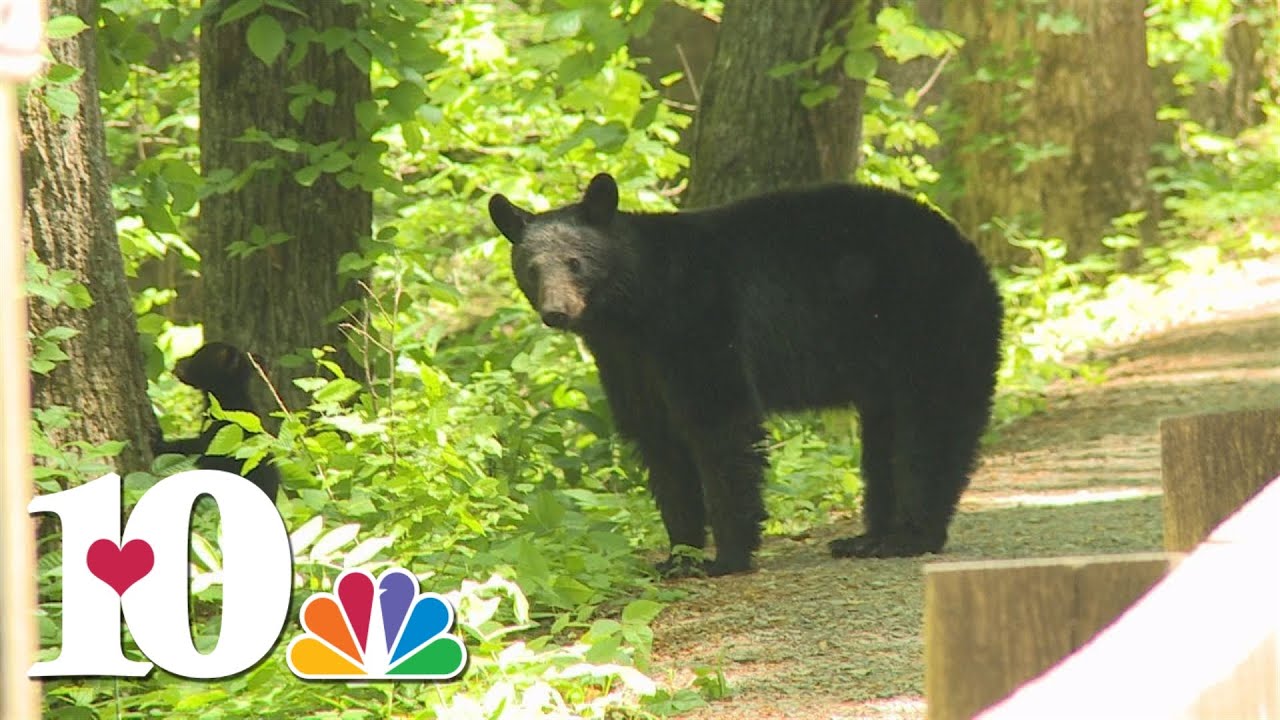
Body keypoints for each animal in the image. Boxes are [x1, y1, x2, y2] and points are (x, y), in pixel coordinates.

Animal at [488, 173, 1003, 577]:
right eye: (531, 268)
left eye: (576, 262)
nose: (556, 312)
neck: (638, 307)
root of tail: (968, 250)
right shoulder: (627, 361)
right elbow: (659, 442)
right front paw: (678, 557)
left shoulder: (700, 322)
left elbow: (720, 425)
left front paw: (727, 557)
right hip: (885, 368)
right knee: (884, 438)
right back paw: (865, 538)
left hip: (931, 325)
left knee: (931, 426)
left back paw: (909, 536)